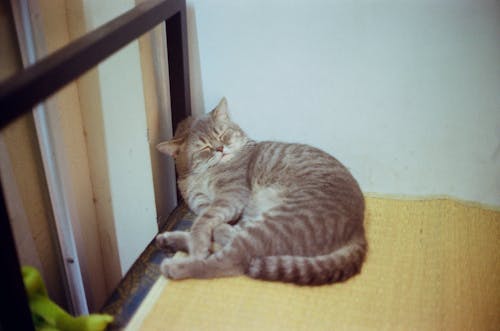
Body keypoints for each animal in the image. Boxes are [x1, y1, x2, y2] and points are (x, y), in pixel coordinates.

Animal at [154, 98, 366, 286]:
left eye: (222, 135)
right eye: (205, 147)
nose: (220, 148)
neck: (201, 177)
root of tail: (359, 229)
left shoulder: (231, 195)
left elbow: (203, 223)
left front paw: (199, 244)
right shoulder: (201, 202)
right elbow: (203, 220)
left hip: (274, 224)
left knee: (228, 260)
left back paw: (177, 266)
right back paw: (169, 240)